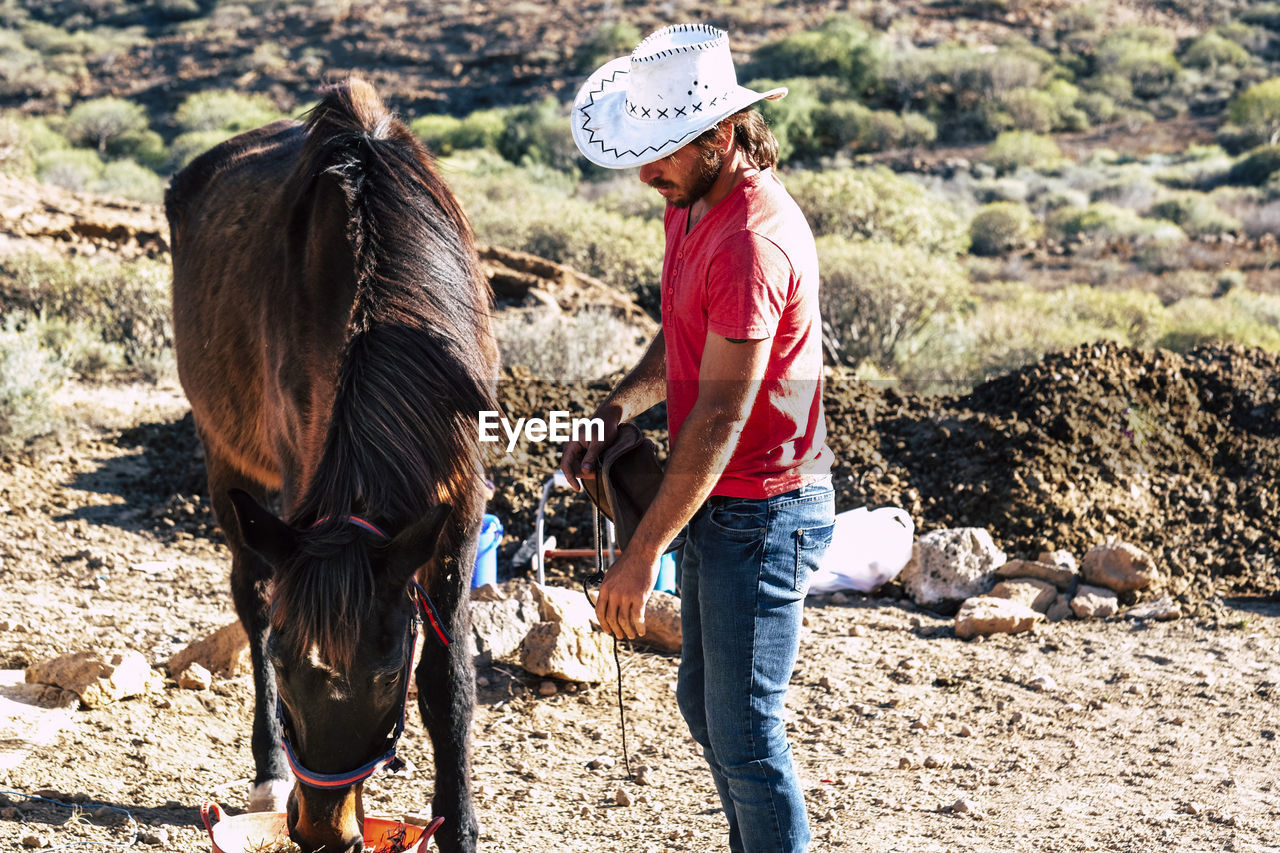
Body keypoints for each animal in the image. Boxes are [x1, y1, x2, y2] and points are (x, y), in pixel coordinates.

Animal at [165, 79, 494, 850]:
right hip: (228, 462)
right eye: (288, 665)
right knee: (252, 599)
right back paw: (267, 770)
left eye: (386, 673)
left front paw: (459, 824)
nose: (321, 832)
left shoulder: (459, 511)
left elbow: (449, 681)